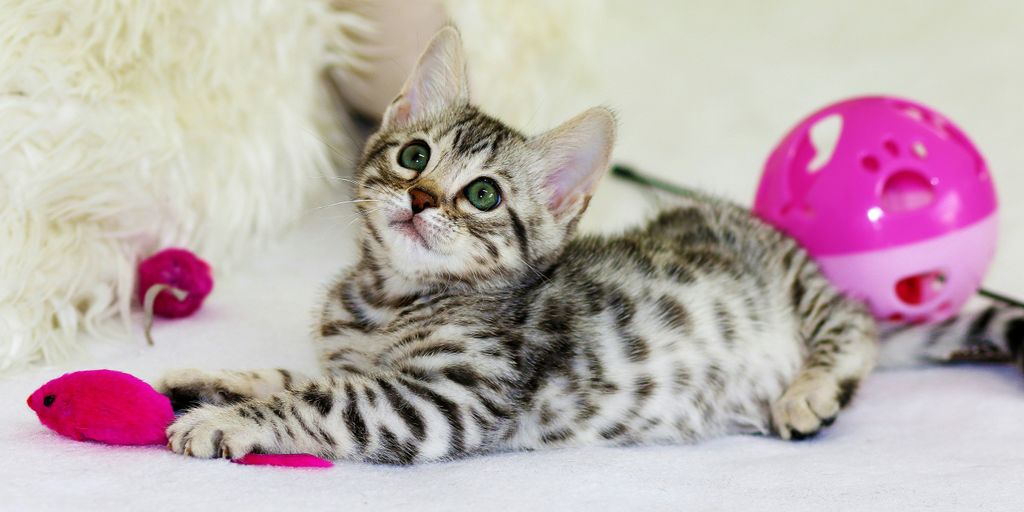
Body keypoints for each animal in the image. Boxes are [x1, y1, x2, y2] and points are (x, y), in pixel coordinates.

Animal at [159, 29, 1024, 464]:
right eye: (414, 156)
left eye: (483, 195)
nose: (422, 198)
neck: (387, 298)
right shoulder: (361, 365)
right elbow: (292, 374)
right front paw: (209, 380)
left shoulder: (438, 400)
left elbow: (319, 402)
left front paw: (229, 421)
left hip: (804, 289)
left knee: (857, 324)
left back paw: (810, 390)